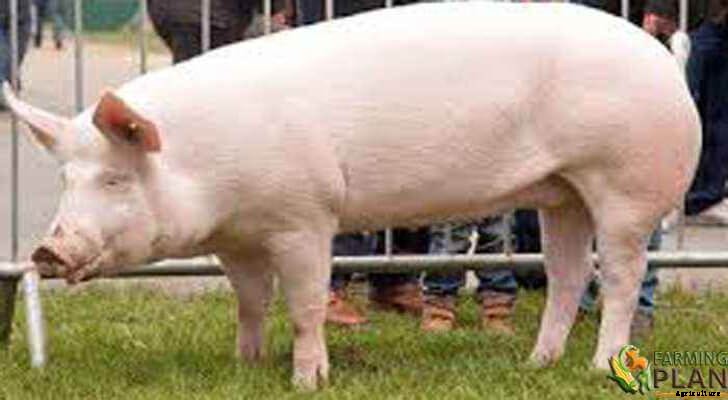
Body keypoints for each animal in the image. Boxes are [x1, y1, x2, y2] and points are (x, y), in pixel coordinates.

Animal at [3, 2, 700, 390]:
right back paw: (537, 365)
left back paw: (598, 368)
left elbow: (306, 304)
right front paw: (245, 366)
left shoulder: (305, 215)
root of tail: (665, 60)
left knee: (620, 276)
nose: (47, 250)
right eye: (66, 180)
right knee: (565, 273)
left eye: (115, 179)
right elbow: (250, 302)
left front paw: (307, 380)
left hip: (625, 183)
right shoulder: (237, 238)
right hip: (561, 193)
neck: (207, 164)